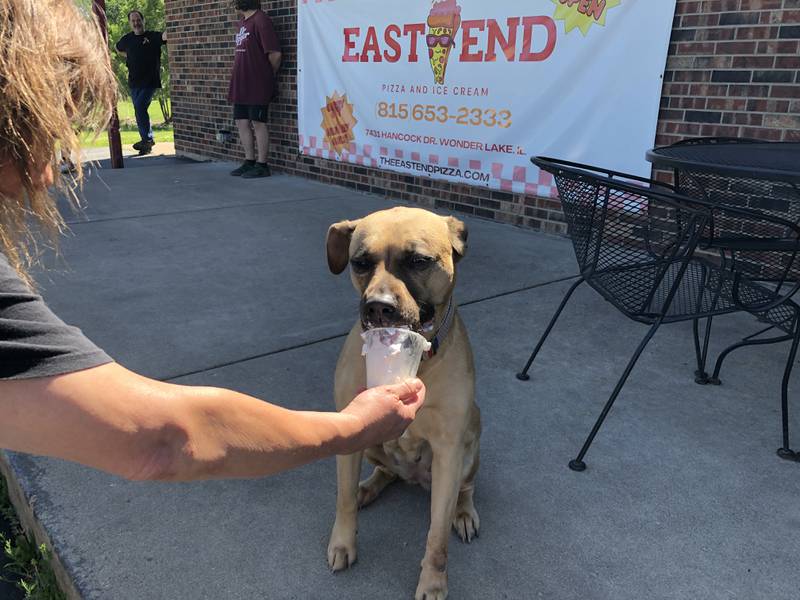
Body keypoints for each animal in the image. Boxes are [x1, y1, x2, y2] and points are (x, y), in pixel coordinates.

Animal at [324, 207, 482, 600]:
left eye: (419, 261)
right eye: (360, 262)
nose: (379, 308)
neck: (413, 358)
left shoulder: (449, 451)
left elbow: (437, 536)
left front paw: (433, 582)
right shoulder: (350, 432)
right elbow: (343, 498)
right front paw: (343, 543)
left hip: (471, 442)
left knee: (466, 489)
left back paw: (464, 513)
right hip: (371, 446)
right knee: (385, 472)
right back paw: (367, 487)